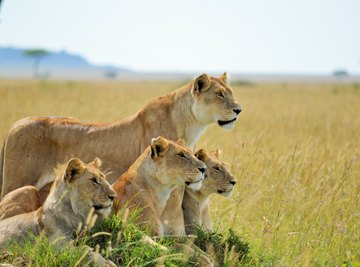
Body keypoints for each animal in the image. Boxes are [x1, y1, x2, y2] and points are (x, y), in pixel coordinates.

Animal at [0, 71, 242, 199]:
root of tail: (13, 126)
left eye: (231, 93)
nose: (239, 110)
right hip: (16, 182)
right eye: (220, 95)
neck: (190, 123)